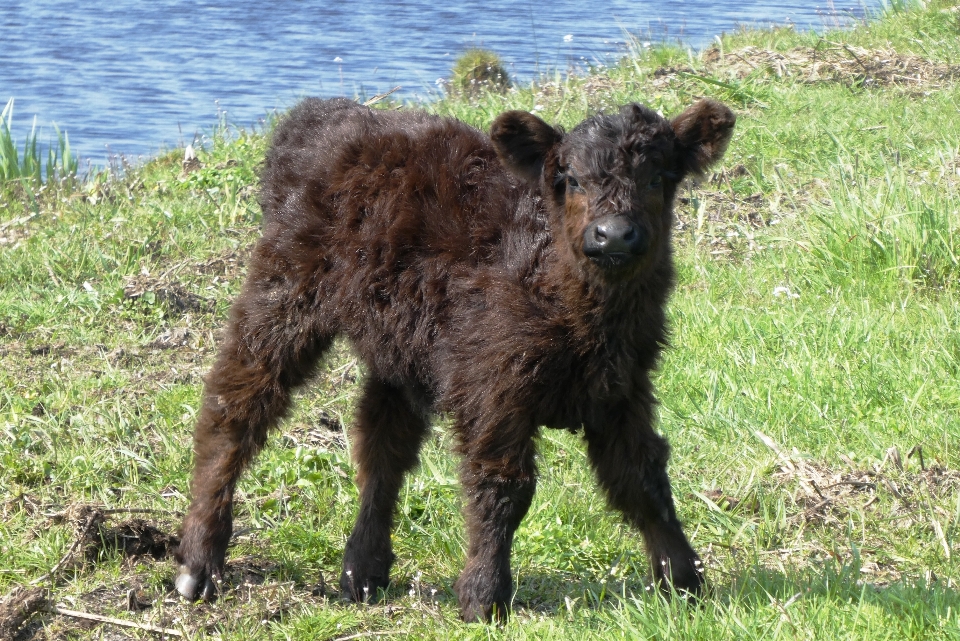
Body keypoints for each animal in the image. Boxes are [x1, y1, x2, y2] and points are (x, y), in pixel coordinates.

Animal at [174, 97, 736, 624]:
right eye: (571, 179)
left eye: (659, 178)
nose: (613, 234)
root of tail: (319, 116)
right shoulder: (492, 390)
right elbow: (503, 486)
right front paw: (484, 598)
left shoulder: (623, 389)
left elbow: (643, 479)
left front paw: (684, 581)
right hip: (283, 293)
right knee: (234, 407)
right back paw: (198, 564)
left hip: (398, 348)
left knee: (383, 445)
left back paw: (362, 571)